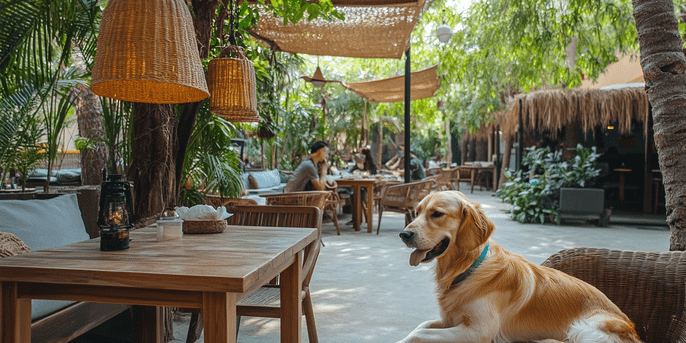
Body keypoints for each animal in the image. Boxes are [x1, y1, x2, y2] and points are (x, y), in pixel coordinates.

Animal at [400, 192, 644, 342]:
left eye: (437, 214)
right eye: (417, 212)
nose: (404, 234)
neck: (466, 269)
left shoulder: (477, 331)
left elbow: (417, 335)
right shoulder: (448, 320)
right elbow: (420, 327)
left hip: (583, 327)